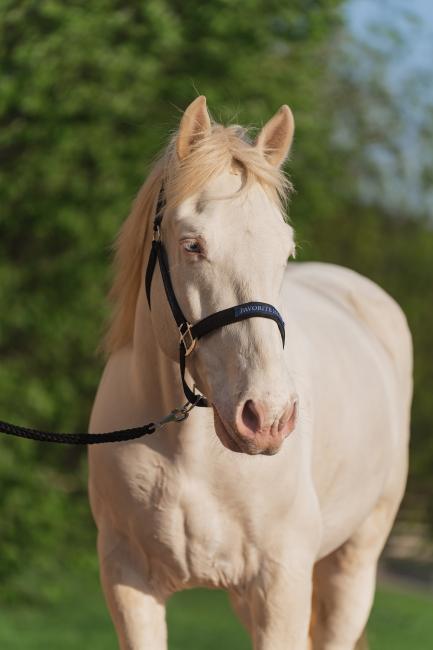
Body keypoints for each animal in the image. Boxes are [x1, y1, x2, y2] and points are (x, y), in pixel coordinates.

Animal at [88, 96, 412, 650]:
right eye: (192, 245)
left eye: (285, 250)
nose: (267, 417)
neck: (189, 455)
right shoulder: (127, 582)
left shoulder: (280, 585)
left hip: (353, 564)